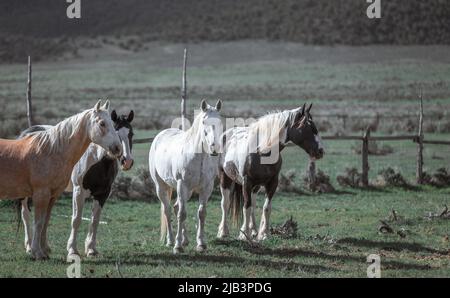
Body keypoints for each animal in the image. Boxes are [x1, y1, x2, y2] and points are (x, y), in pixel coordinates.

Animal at [0, 100, 123, 258]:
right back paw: (28, 247)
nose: (118, 148)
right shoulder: (44, 193)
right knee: (25, 215)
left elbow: (45, 221)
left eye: (113, 124)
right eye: (102, 123)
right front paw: (38, 252)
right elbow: (40, 221)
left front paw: (44, 249)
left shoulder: (54, 194)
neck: (51, 151)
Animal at [150, 99, 222, 253]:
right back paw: (171, 241)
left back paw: (185, 240)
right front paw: (177, 247)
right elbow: (182, 214)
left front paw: (201, 243)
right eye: (204, 121)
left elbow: (201, 213)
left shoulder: (206, 188)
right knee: (168, 210)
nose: (214, 148)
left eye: (220, 120)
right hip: (162, 187)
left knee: (176, 207)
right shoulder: (182, 185)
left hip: (188, 191)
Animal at [217, 103, 324, 241]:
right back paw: (223, 232)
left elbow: (266, 207)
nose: (321, 151)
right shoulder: (247, 182)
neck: (262, 151)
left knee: (253, 203)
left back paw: (254, 231)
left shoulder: (272, 183)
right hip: (224, 177)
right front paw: (243, 234)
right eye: (309, 127)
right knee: (225, 203)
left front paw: (264, 234)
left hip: (255, 187)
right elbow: (246, 206)